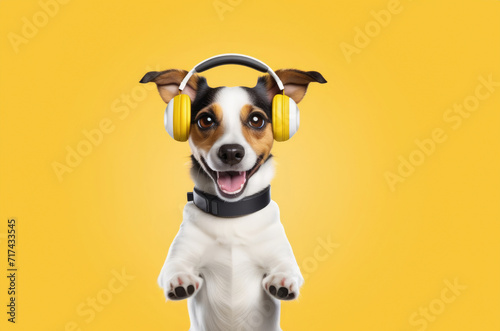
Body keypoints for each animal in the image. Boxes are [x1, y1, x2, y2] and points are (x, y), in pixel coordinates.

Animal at [143, 55, 326, 331]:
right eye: (206, 120)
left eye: (256, 120)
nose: (231, 152)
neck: (232, 214)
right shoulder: (179, 255)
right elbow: (173, 268)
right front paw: (180, 280)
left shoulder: (281, 254)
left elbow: (288, 268)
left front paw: (283, 281)